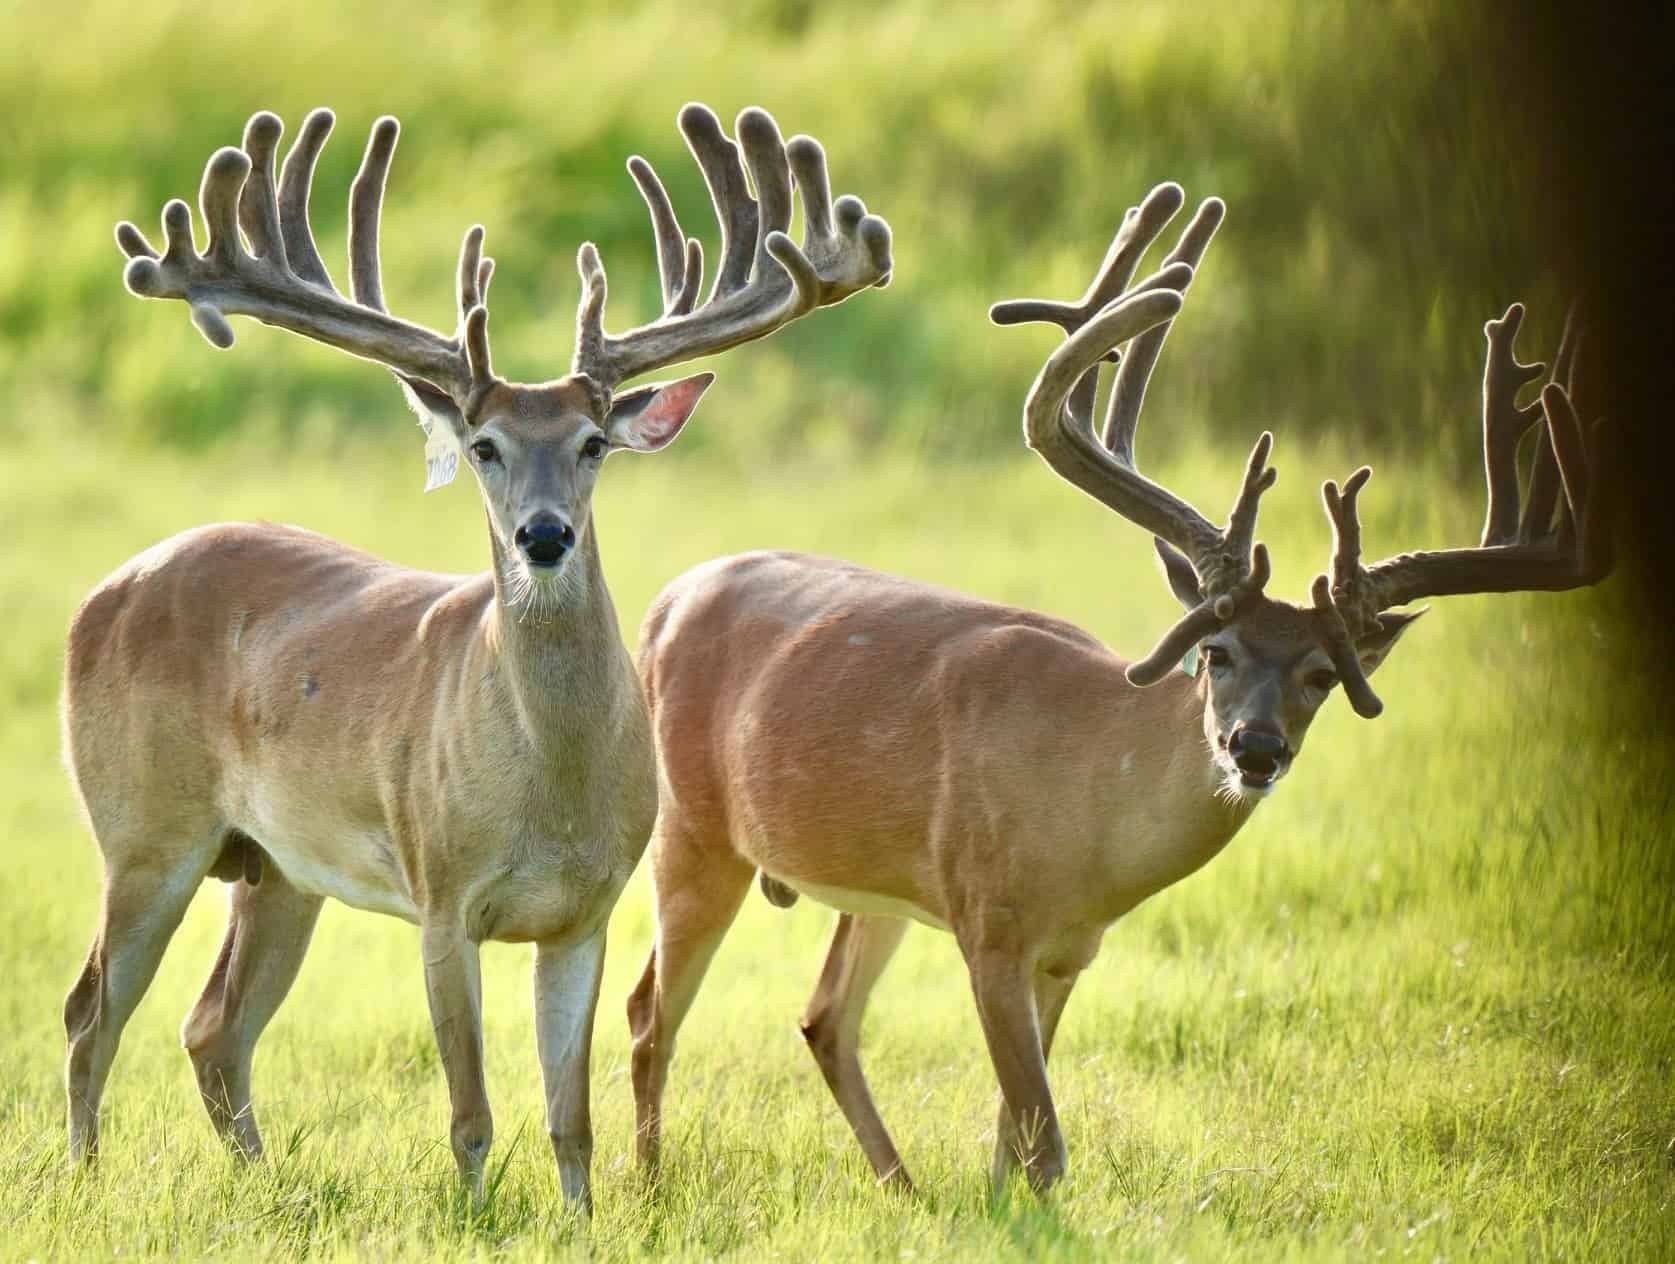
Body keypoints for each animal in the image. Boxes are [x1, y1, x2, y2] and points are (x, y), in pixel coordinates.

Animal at [61, 103, 891, 1212]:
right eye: (485, 445)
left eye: (592, 443)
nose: (543, 535)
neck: (549, 789)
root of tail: (104, 591)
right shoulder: (442, 891)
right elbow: (469, 1112)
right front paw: (473, 1217)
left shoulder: (586, 911)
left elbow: (569, 1115)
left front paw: (581, 1219)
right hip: (143, 828)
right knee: (92, 1011)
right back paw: (84, 1179)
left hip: (275, 867)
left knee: (213, 1027)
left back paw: (263, 1182)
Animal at [626, 180, 1610, 1195]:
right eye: (1213, 651)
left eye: (1323, 674)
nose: (1254, 748)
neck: (1091, 810)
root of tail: (667, 597)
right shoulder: (988, 922)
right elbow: (1044, 1144)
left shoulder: (1070, 953)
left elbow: (1015, 1149)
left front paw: (987, 1205)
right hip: (692, 830)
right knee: (649, 1012)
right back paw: (648, 1183)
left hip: (865, 885)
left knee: (823, 1017)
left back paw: (899, 1189)